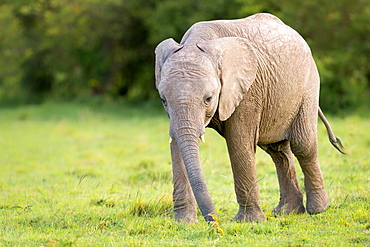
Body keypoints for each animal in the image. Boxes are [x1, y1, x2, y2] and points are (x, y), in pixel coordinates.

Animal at [155, 12, 346, 223]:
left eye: (208, 99)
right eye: (163, 100)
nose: (214, 221)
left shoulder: (248, 90)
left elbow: (239, 142)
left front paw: (249, 221)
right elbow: (176, 145)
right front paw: (184, 222)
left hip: (308, 85)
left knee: (303, 145)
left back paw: (317, 209)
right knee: (278, 151)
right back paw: (287, 212)